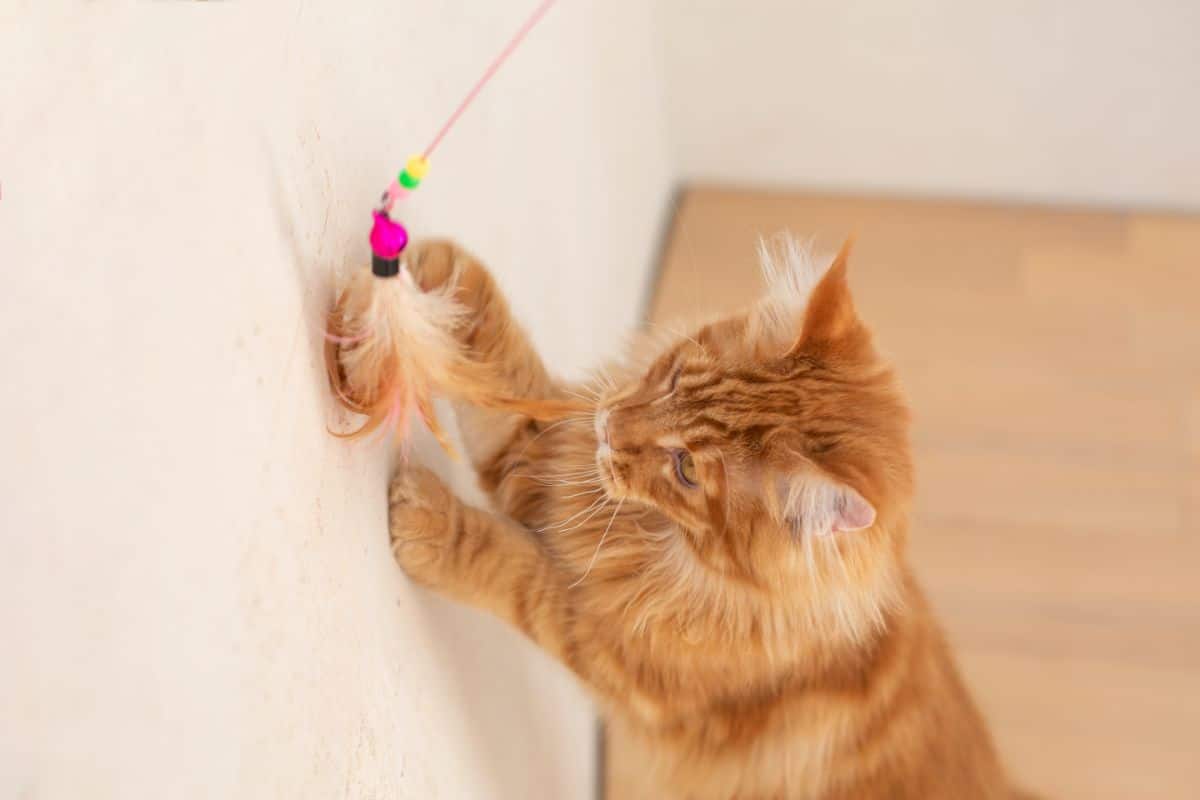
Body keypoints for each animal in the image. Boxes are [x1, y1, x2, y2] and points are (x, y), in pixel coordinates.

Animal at [350, 236, 1032, 796]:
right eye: (675, 376)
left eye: (686, 470)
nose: (609, 426)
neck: (664, 547)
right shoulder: (547, 469)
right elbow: (502, 379)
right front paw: (435, 271)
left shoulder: (617, 660)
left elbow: (515, 572)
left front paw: (428, 523)